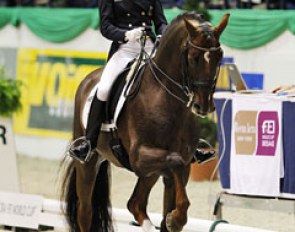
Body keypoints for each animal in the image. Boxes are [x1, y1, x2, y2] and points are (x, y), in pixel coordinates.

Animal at [61, 11, 230, 232]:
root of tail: (89, 78)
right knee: (86, 212)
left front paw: (174, 219)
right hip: (88, 163)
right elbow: (174, 160)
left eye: (219, 57)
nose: (204, 106)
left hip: (149, 172)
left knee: (135, 203)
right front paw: (176, 218)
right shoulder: (140, 156)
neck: (165, 99)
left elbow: (171, 206)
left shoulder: (181, 165)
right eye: (193, 58)